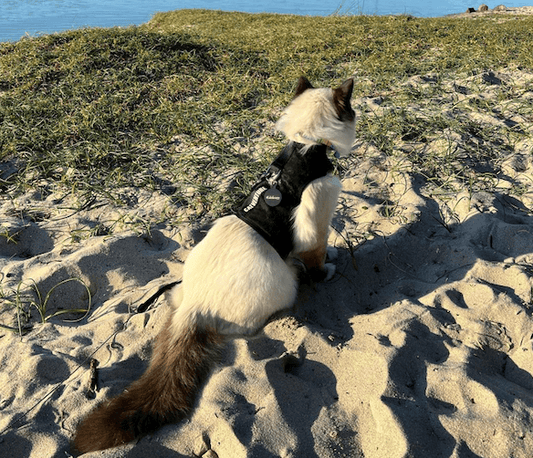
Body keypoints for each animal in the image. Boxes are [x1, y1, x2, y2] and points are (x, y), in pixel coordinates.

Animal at [70, 77, 354, 452]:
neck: (305, 147)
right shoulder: (315, 226)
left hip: (180, 291)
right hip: (283, 284)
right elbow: (318, 258)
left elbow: (325, 252)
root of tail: (194, 306)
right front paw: (328, 271)